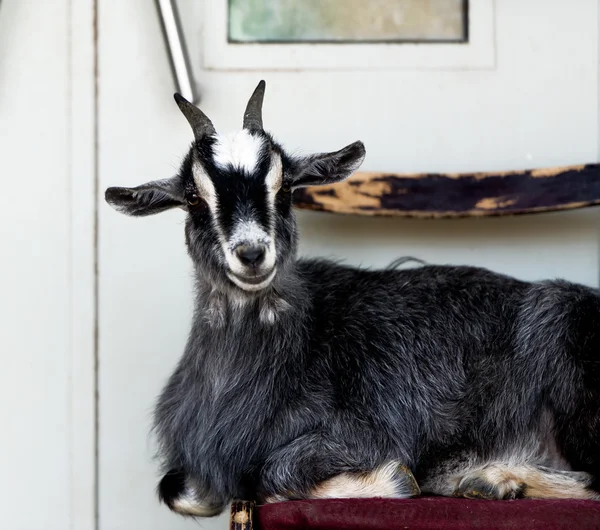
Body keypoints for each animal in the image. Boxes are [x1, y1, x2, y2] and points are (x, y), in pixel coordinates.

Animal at [105, 80, 600, 512]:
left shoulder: (365, 430)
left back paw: (490, 480)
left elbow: (271, 475)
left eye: (285, 187)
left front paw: (396, 479)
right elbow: (177, 489)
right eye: (192, 196)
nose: (252, 253)